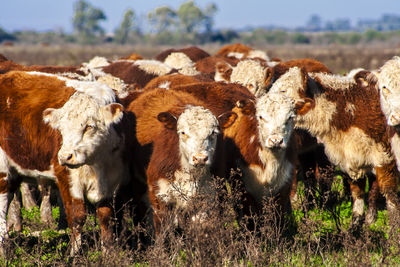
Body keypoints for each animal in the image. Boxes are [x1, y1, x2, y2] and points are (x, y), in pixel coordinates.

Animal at [0, 71, 148, 255]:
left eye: (89, 126)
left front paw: (108, 252)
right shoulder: (68, 179)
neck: (98, 163)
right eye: (61, 128)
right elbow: (77, 216)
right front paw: (75, 253)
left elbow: (106, 217)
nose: (65, 156)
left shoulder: (112, 182)